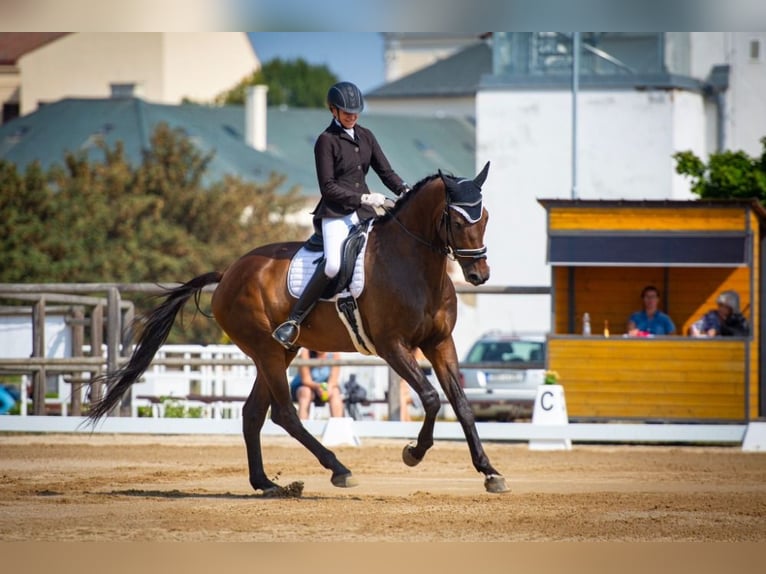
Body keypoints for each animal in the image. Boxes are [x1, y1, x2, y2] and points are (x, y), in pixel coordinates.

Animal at [87, 162, 510, 496]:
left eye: (487, 217)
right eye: (458, 220)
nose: (479, 274)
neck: (415, 265)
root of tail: (229, 273)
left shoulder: (440, 343)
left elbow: (461, 405)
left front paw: (490, 472)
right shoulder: (393, 346)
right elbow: (432, 398)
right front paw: (413, 453)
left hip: (278, 352)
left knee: (253, 413)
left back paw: (266, 484)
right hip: (269, 350)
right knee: (284, 414)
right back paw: (339, 469)